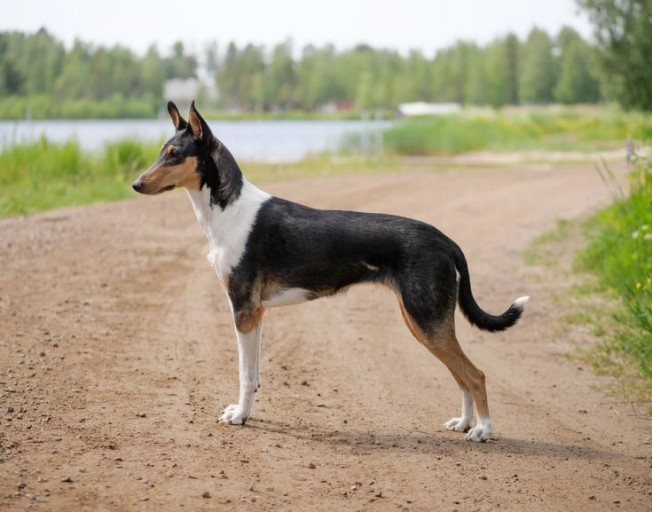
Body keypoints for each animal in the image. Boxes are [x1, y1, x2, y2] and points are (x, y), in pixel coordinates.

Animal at [132, 101, 529, 442]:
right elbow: (255, 374)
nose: (136, 184)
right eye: (161, 151)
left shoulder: (243, 309)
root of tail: (446, 240)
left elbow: (244, 374)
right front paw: (245, 412)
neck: (228, 212)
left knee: (475, 374)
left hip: (426, 320)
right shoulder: (256, 313)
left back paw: (483, 430)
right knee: (461, 375)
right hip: (422, 321)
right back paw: (464, 423)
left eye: (175, 154)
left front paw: (240, 417)